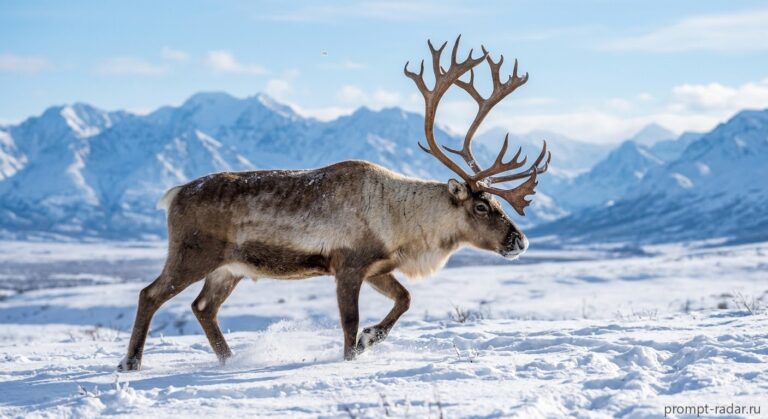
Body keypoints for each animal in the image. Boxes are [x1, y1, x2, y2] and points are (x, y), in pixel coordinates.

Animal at [118, 36, 550, 371]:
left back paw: (230, 360)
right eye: (482, 207)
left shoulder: (378, 268)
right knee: (150, 294)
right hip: (193, 254)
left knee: (203, 308)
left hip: (229, 268)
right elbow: (349, 320)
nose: (520, 241)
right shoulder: (348, 265)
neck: (400, 221)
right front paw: (352, 354)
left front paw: (370, 338)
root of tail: (174, 193)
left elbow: (406, 299)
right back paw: (131, 363)